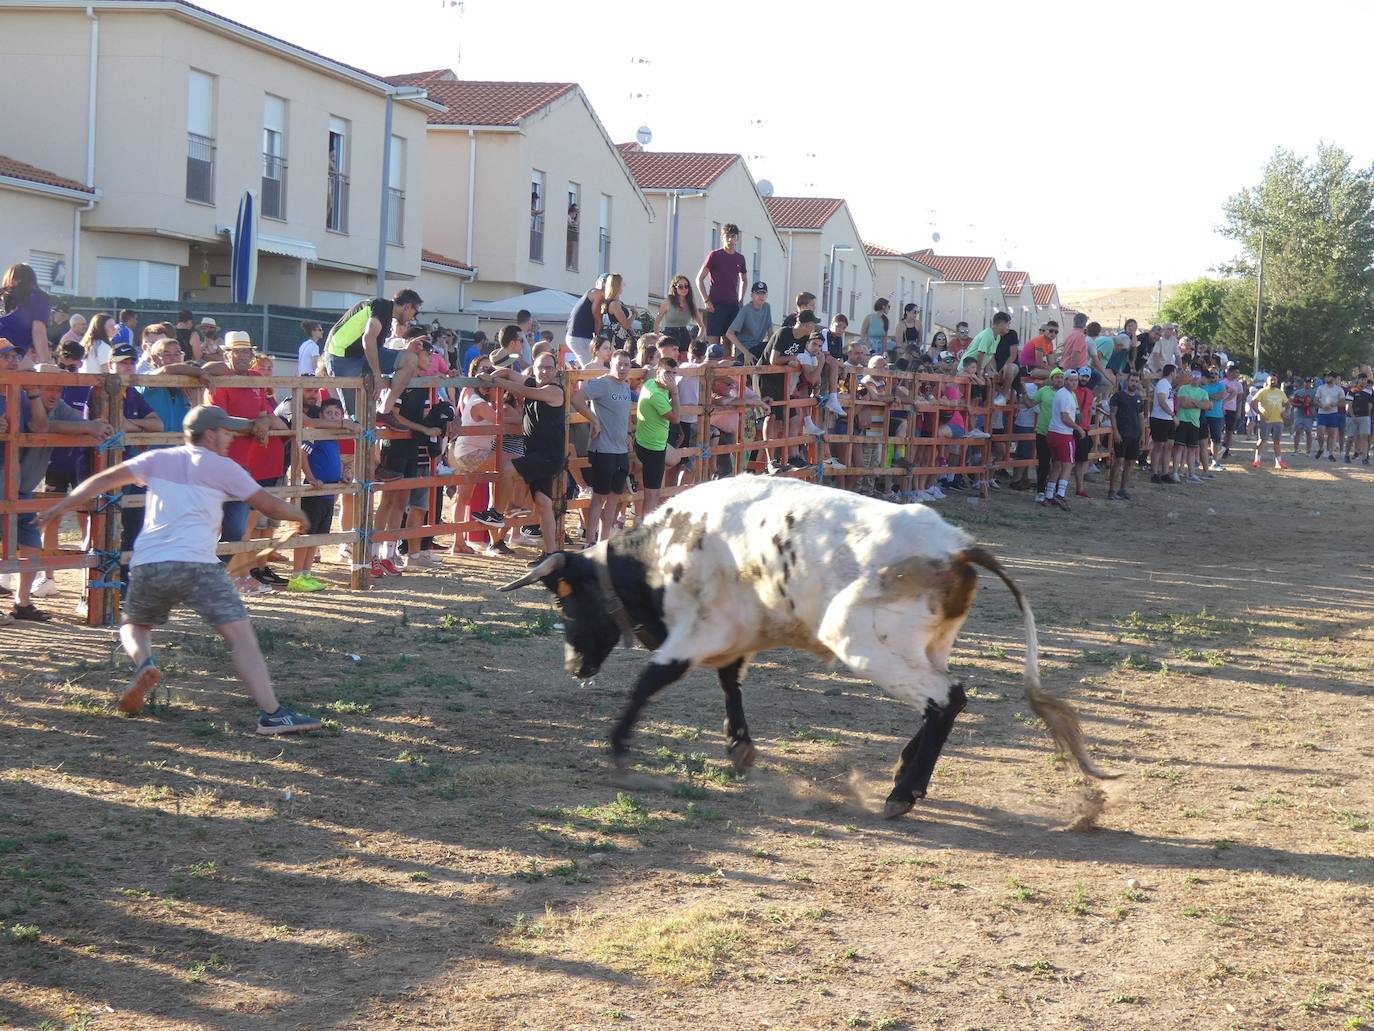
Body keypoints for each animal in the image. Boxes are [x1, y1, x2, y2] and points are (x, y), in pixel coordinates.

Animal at [505, 478, 1115, 824]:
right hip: (927, 645)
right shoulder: (735, 632)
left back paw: (903, 792)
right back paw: (905, 772)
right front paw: (739, 746)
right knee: (945, 700)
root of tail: (959, 548)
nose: (573, 666)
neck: (663, 551)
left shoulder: (695, 633)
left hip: (864, 642)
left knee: (945, 699)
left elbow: (649, 683)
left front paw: (618, 748)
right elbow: (729, 683)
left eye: (565, 600)